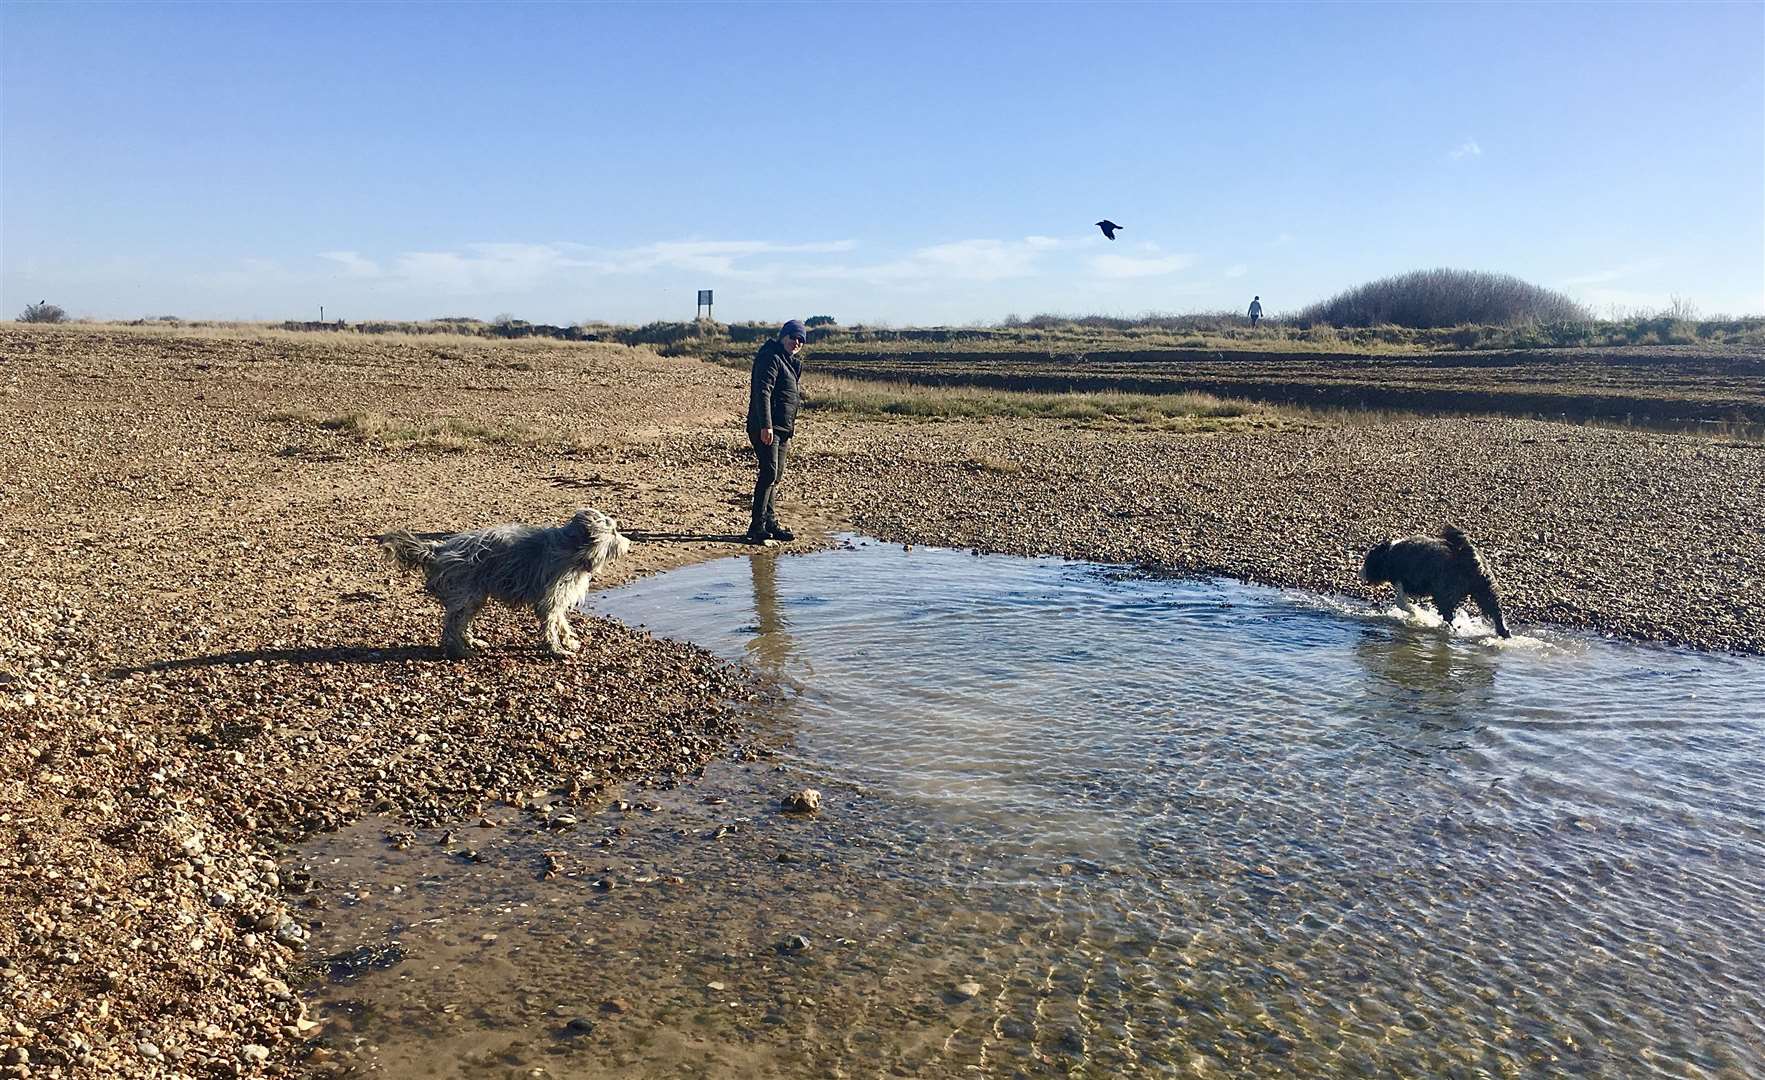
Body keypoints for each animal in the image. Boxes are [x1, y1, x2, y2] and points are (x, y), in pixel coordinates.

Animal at [383, 508, 631, 656]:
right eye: (614, 531)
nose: (628, 544)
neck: (573, 550)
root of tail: (439, 549)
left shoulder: (557, 597)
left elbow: (561, 621)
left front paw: (568, 642)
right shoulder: (550, 597)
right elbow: (550, 624)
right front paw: (556, 650)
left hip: (474, 597)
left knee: (461, 623)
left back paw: (473, 642)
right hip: (467, 594)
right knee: (452, 625)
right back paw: (461, 651)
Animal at [1355, 525, 1510, 635]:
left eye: (1367, 561)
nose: (1359, 573)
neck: (1388, 553)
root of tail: (1469, 557)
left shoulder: (1403, 582)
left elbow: (1400, 602)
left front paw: (1415, 613)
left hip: (1446, 592)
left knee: (1448, 615)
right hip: (1486, 590)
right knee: (1496, 613)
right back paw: (1504, 633)